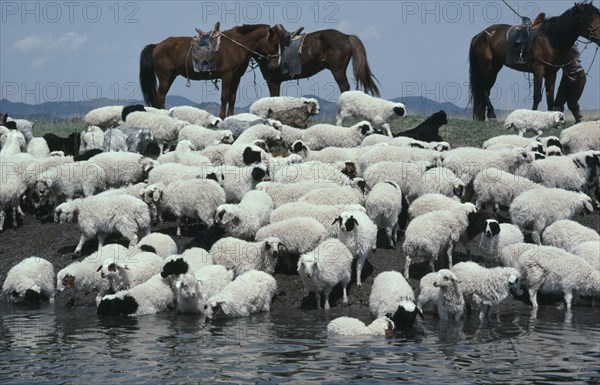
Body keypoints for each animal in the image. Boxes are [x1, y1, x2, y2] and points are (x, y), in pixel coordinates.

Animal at [141, 24, 288, 117]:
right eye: (274, 44)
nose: (275, 64)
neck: (236, 46)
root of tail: (157, 46)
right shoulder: (227, 76)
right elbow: (224, 97)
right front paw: (222, 117)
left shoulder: (236, 77)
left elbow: (232, 98)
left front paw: (230, 116)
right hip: (165, 77)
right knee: (160, 97)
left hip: (171, 76)